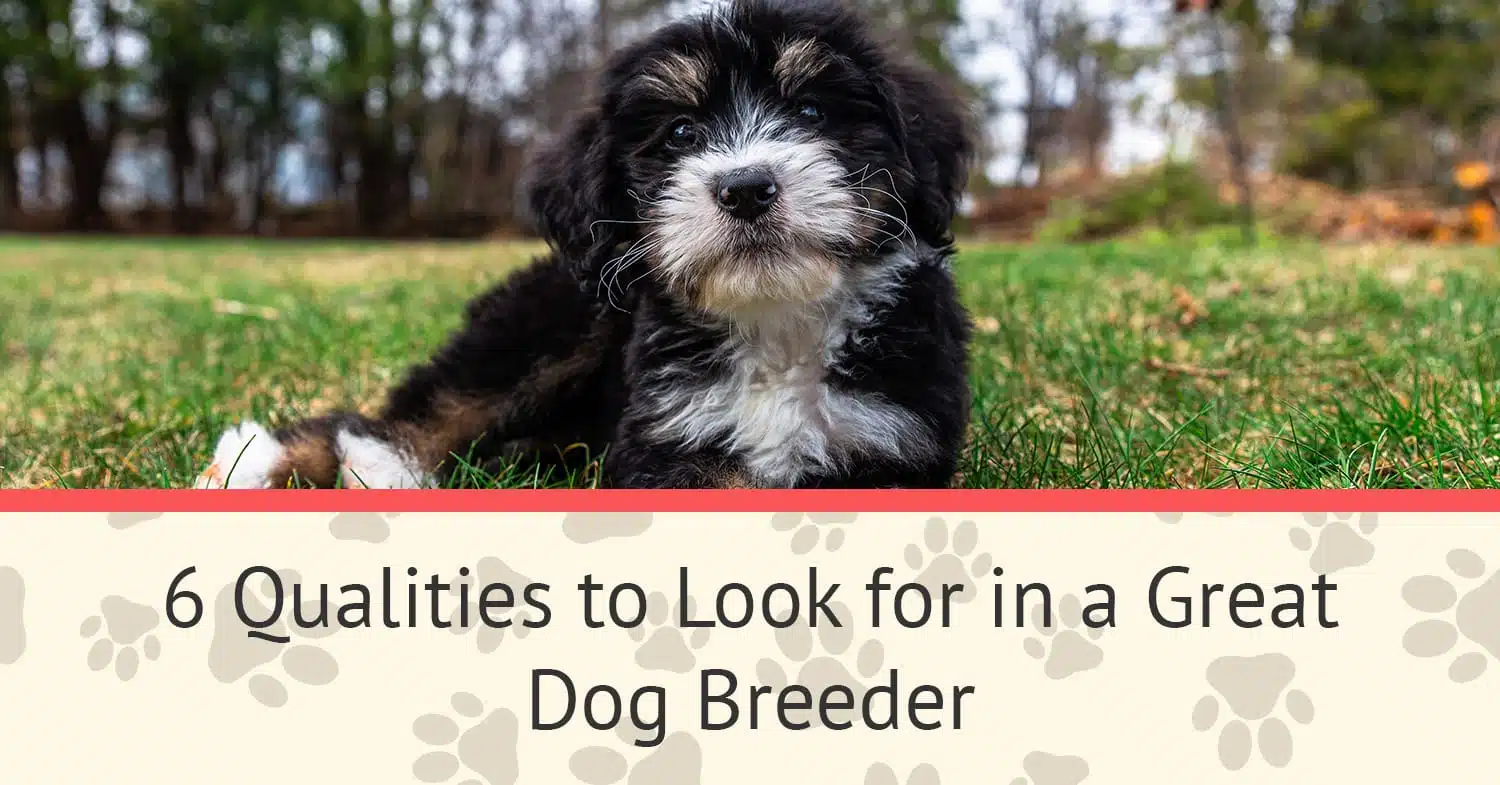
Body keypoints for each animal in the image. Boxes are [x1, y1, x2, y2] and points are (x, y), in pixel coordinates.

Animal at [193, 0, 978, 489]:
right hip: (552, 320)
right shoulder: (664, 443)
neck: (777, 323)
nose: (746, 187)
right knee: (409, 413)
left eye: (813, 111)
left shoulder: (893, 441)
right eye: (681, 133)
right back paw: (333, 468)